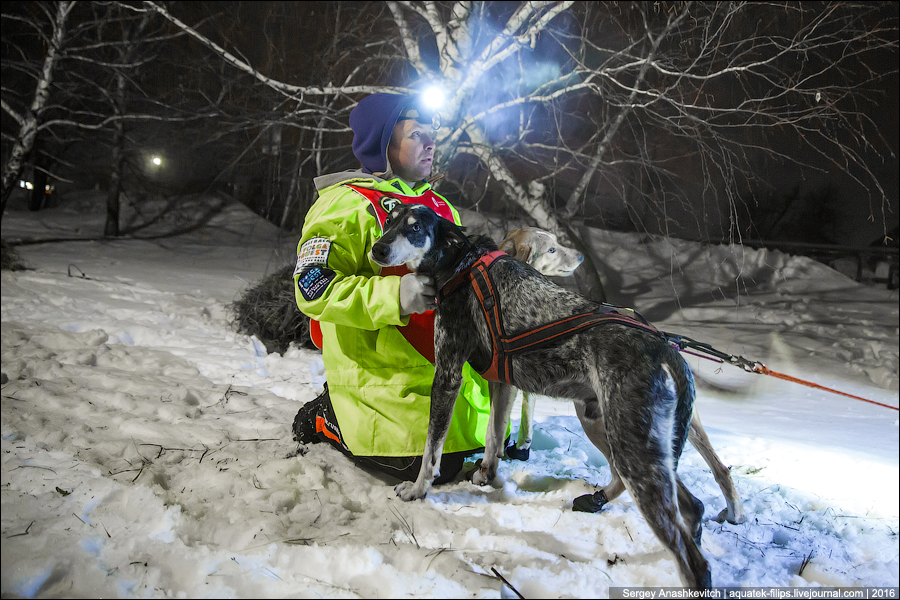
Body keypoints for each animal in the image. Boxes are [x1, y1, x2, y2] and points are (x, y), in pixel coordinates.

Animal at [370, 204, 712, 588]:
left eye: (414, 229)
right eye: (389, 222)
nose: (378, 249)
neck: (461, 264)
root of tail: (665, 348)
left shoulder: (447, 376)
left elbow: (432, 452)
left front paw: (417, 491)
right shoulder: (502, 384)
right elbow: (494, 436)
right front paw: (486, 475)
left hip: (632, 453)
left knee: (692, 559)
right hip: (614, 434)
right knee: (692, 506)